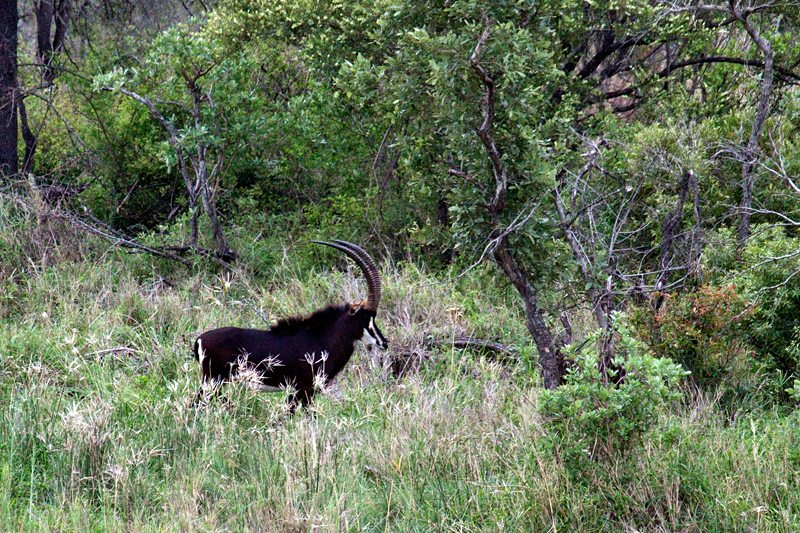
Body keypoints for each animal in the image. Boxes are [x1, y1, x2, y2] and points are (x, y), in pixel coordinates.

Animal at [194, 241, 388, 412]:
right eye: (365, 317)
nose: (384, 343)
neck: (322, 338)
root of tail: (200, 339)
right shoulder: (305, 389)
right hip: (214, 380)